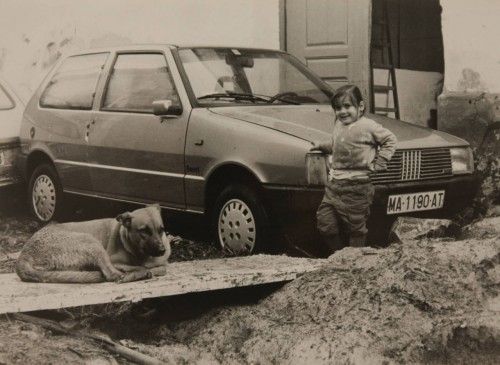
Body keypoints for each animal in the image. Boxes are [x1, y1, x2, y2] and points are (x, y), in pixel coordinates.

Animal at [15, 203, 172, 282]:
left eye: (162, 230)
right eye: (144, 231)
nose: (162, 250)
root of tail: (25, 253)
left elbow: (162, 267)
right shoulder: (115, 261)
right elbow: (145, 267)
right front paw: (143, 270)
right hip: (91, 242)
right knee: (112, 275)